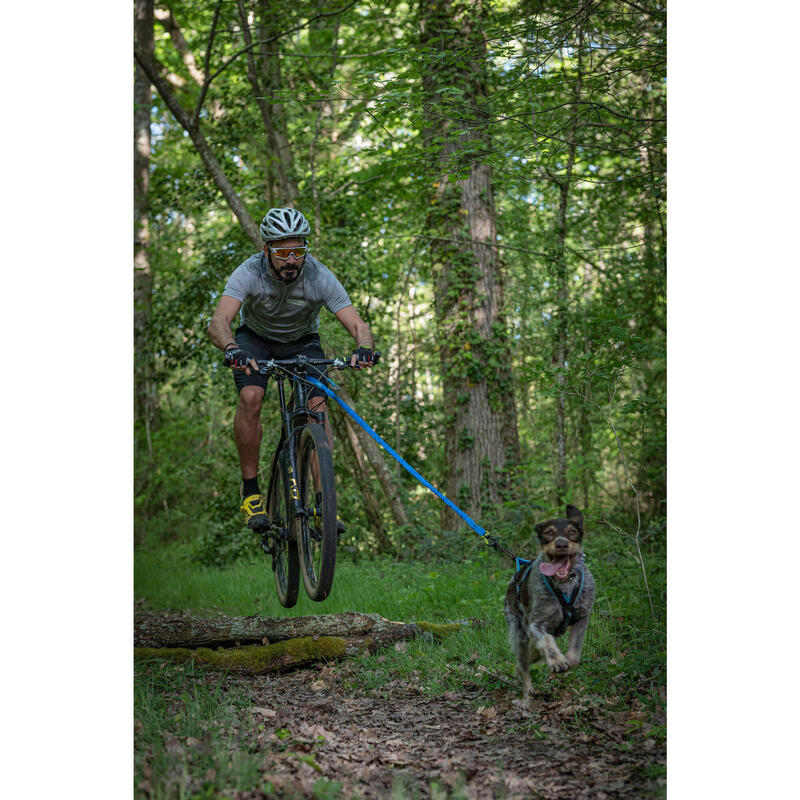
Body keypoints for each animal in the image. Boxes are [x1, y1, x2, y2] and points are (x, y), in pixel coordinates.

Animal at [506, 506, 592, 708]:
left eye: (572, 532)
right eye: (549, 532)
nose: (561, 544)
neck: (564, 585)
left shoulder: (582, 616)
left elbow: (574, 655)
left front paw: (565, 660)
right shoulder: (536, 624)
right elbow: (546, 641)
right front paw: (556, 660)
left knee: (534, 655)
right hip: (520, 634)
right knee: (524, 664)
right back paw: (527, 693)